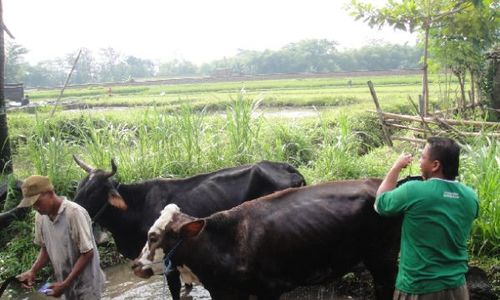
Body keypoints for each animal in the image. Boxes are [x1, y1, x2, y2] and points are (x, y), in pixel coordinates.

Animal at [70, 156, 304, 298]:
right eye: (80, 186)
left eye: (94, 191)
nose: (74, 207)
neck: (137, 205)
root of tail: (287, 167)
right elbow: (186, 285)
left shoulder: (169, 261)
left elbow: (174, 290)